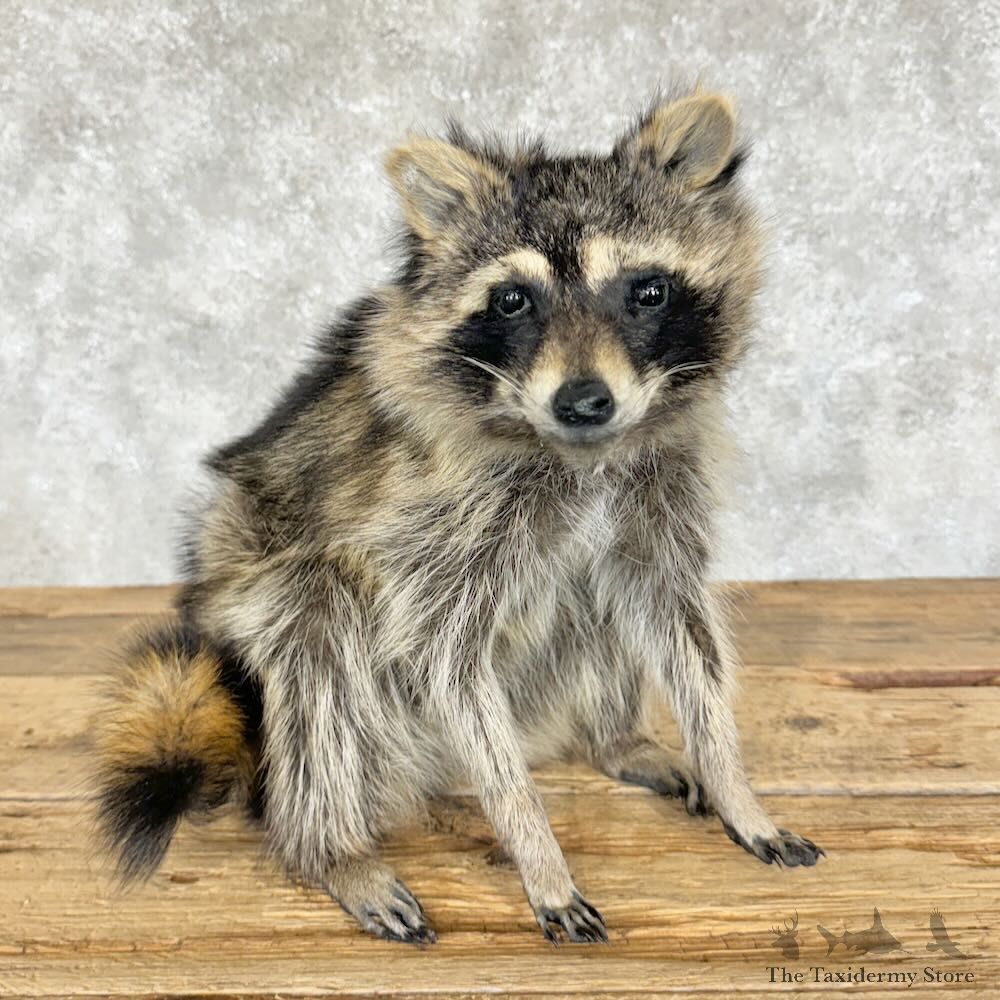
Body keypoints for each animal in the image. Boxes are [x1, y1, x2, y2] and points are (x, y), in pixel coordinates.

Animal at [94, 90, 823, 946]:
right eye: (513, 299)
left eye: (647, 291)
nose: (583, 401)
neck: (580, 451)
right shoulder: (437, 521)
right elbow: (447, 658)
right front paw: (535, 847)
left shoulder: (663, 483)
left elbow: (680, 626)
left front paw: (732, 778)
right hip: (268, 618)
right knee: (315, 632)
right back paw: (332, 846)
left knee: (598, 595)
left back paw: (615, 737)